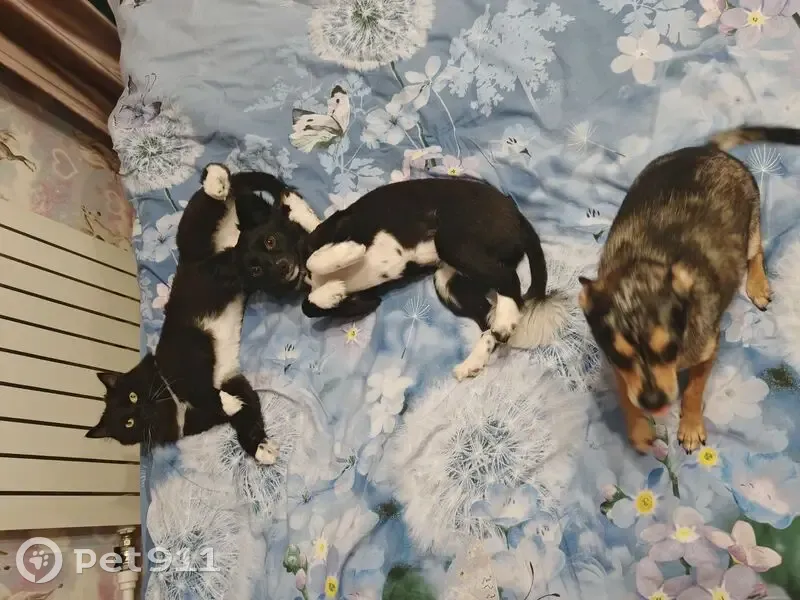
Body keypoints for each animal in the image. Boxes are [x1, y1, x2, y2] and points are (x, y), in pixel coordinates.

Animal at [87, 164, 318, 463]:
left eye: (133, 397)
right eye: (128, 423)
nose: (143, 409)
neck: (170, 399)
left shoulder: (190, 352)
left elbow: (203, 390)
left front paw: (227, 404)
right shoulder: (229, 386)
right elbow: (245, 410)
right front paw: (259, 446)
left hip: (197, 233)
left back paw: (217, 182)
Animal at [237, 177, 568, 379]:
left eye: (270, 241)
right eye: (254, 270)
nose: (281, 267)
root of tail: (517, 214)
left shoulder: (345, 223)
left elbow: (316, 255)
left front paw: (344, 255)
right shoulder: (368, 300)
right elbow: (310, 305)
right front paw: (330, 293)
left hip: (453, 242)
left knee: (509, 280)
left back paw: (505, 320)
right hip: (446, 282)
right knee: (491, 319)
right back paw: (477, 357)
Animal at [579, 126, 800, 454]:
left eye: (670, 348)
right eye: (619, 356)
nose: (653, 402)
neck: (644, 260)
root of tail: (709, 150)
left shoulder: (709, 348)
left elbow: (695, 388)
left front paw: (692, 426)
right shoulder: (616, 366)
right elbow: (625, 392)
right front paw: (638, 427)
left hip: (751, 225)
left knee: (756, 251)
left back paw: (758, 284)